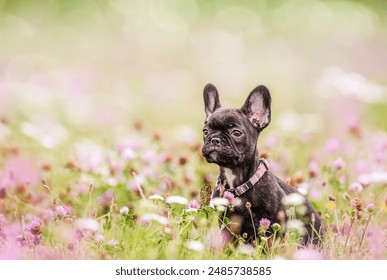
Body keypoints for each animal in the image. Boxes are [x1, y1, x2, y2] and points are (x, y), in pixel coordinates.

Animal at [203, 83, 324, 245]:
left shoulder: (273, 223)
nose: (214, 139)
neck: (236, 182)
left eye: (236, 133)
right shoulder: (226, 223)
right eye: (205, 131)